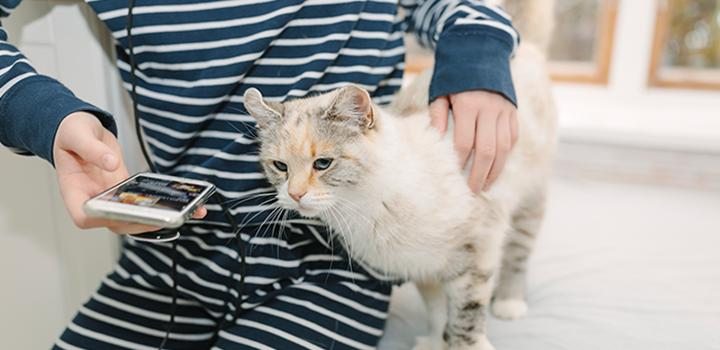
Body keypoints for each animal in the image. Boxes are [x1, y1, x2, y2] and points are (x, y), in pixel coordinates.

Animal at [245, 0, 556, 348]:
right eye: (280, 167)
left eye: (323, 164)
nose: (295, 194)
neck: (369, 209)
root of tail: (523, 46)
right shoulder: (423, 267)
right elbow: (438, 310)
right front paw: (435, 341)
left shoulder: (477, 249)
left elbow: (465, 317)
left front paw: (467, 343)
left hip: (530, 198)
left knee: (519, 252)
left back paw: (509, 302)